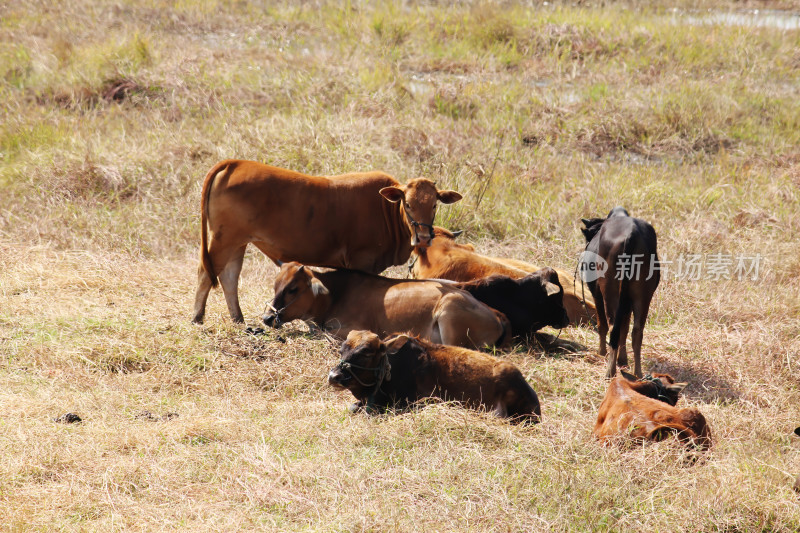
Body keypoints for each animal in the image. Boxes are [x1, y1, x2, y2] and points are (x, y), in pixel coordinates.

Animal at [191, 160, 462, 322]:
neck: (385, 209)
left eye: (434, 204)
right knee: (206, 274)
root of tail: (236, 163)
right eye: (408, 204)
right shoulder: (361, 261)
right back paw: (198, 317)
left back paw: (238, 319)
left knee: (229, 277)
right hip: (224, 240)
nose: (423, 237)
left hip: (238, 242)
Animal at [266, 262, 510, 350]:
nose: (267, 318)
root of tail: (497, 314)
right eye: (275, 285)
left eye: (293, 288)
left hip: (450, 312)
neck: (336, 295)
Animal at [580, 206, 660, 376]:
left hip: (609, 291)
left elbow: (602, 324)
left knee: (612, 327)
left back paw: (610, 371)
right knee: (637, 331)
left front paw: (601, 353)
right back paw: (638, 373)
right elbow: (625, 327)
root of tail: (632, 233)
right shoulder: (627, 302)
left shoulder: (596, 294)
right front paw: (622, 359)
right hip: (643, 295)